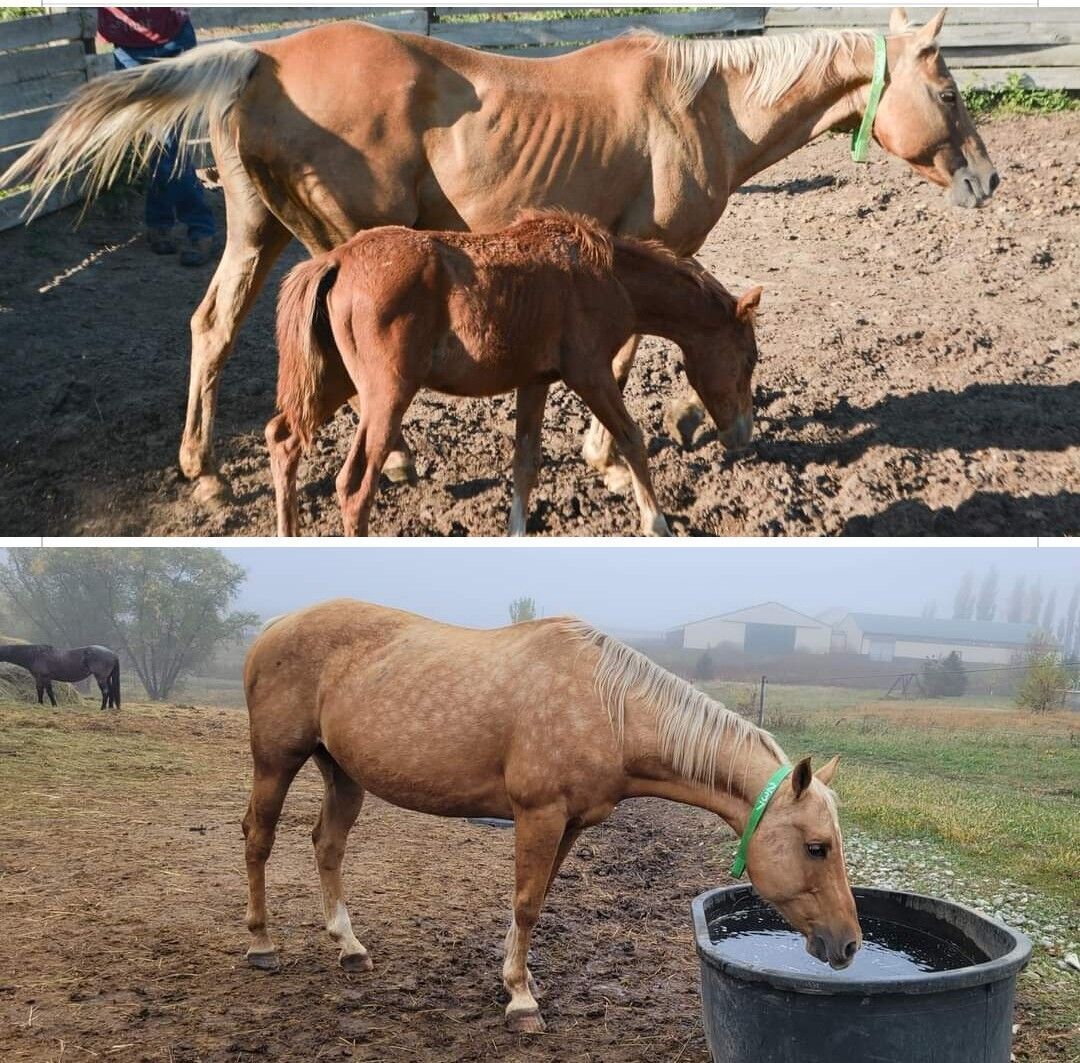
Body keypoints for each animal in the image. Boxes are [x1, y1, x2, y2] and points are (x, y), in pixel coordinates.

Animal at [242, 599, 859, 1033]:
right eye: (817, 847)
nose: (850, 946)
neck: (607, 707)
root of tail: (274, 625)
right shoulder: (538, 815)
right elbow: (526, 902)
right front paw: (520, 1000)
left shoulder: (571, 823)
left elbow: (536, 902)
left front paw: (519, 977)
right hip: (276, 761)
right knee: (258, 839)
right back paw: (261, 946)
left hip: (343, 773)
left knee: (327, 845)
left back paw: (349, 948)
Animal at [269, 211, 761, 537]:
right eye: (750, 359)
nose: (741, 435)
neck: (606, 276)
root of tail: (338, 260)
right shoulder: (590, 373)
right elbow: (631, 438)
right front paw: (656, 522)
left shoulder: (535, 381)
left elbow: (525, 461)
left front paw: (517, 530)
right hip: (386, 395)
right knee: (354, 486)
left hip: (333, 382)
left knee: (283, 439)